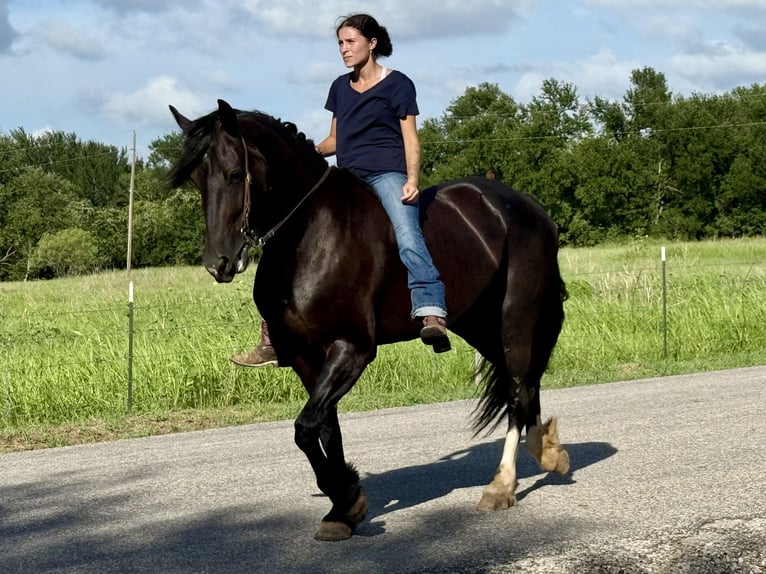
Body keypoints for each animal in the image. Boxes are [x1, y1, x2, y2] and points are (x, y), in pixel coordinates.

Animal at [169, 99, 570, 541]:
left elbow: (305, 427)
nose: (218, 263)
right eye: (196, 181)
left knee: (517, 389)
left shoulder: (353, 349)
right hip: (478, 323)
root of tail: (530, 208)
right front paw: (343, 507)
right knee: (525, 383)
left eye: (235, 174)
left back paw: (502, 485)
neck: (310, 235)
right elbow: (324, 428)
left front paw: (346, 496)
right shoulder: (306, 356)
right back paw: (547, 451)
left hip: (516, 316)